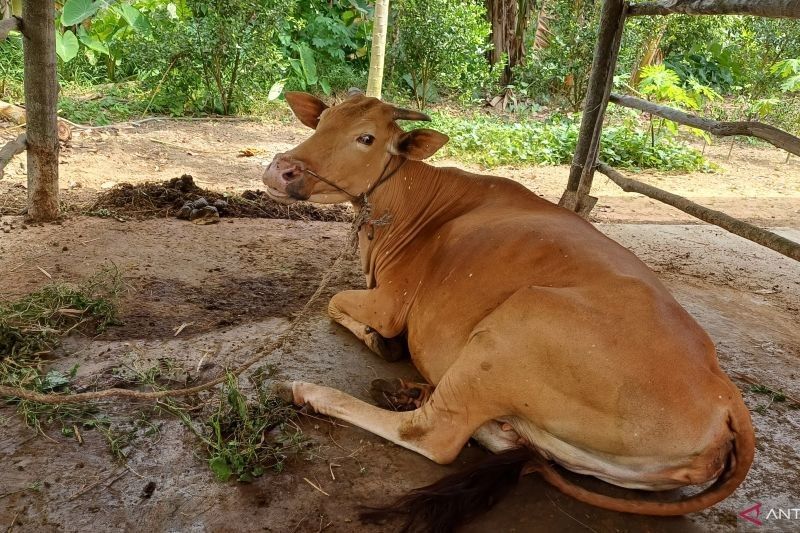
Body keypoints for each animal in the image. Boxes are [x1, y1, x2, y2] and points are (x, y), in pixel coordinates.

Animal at [264, 90, 756, 528]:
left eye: (365, 137)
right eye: (322, 121)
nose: (280, 169)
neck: (407, 209)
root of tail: (726, 396)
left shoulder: (390, 303)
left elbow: (332, 302)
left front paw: (379, 341)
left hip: (514, 329)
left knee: (433, 434)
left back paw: (311, 390)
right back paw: (414, 393)